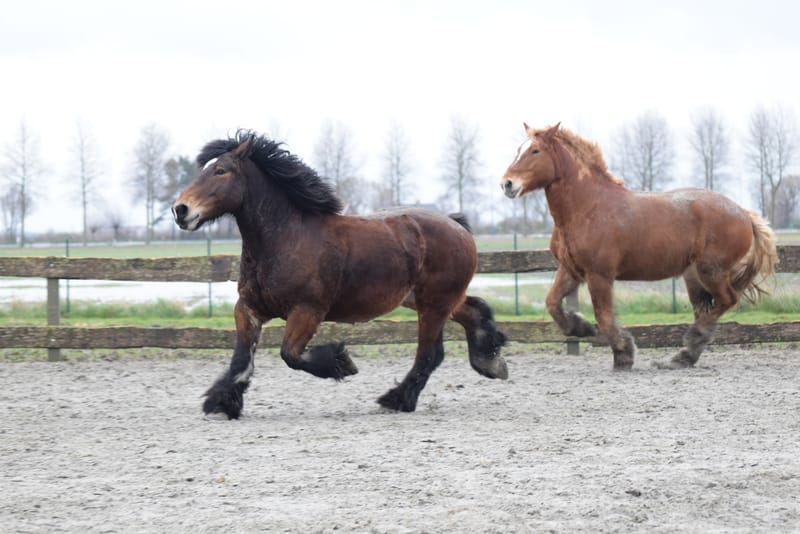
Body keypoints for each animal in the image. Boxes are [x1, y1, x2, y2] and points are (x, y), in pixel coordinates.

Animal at [172, 130, 508, 419]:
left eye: (221, 171)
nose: (181, 210)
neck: (286, 238)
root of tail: (457, 226)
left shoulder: (307, 310)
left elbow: (291, 354)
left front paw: (341, 362)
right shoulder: (249, 309)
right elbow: (242, 359)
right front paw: (221, 403)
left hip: (434, 304)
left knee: (430, 353)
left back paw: (396, 399)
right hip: (426, 300)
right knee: (473, 311)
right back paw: (490, 361)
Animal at [501, 123, 778, 370]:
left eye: (535, 151)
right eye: (518, 149)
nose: (507, 184)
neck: (587, 207)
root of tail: (744, 213)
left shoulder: (599, 275)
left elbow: (604, 317)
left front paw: (624, 354)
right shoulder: (571, 270)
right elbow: (552, 304)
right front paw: (580, 327)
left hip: (711, 272)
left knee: (727, 300)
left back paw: (688, 346)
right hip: (694, 277)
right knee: (706, 309)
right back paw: (683, 357)